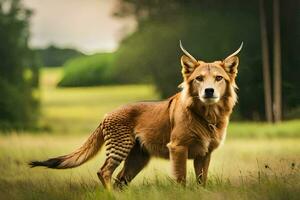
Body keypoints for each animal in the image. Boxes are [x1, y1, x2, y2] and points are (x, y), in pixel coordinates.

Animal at [29, 41, 241, 189]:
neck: (207, 114)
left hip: (137, 157)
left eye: (219, 78)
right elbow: (181, 179)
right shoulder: (178, 148)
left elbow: (201, 180)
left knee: (120, 179)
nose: (209, 91)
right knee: (104, 172)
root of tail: (107, 114)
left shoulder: (205, 153)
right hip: (120, 147)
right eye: (199, 79)